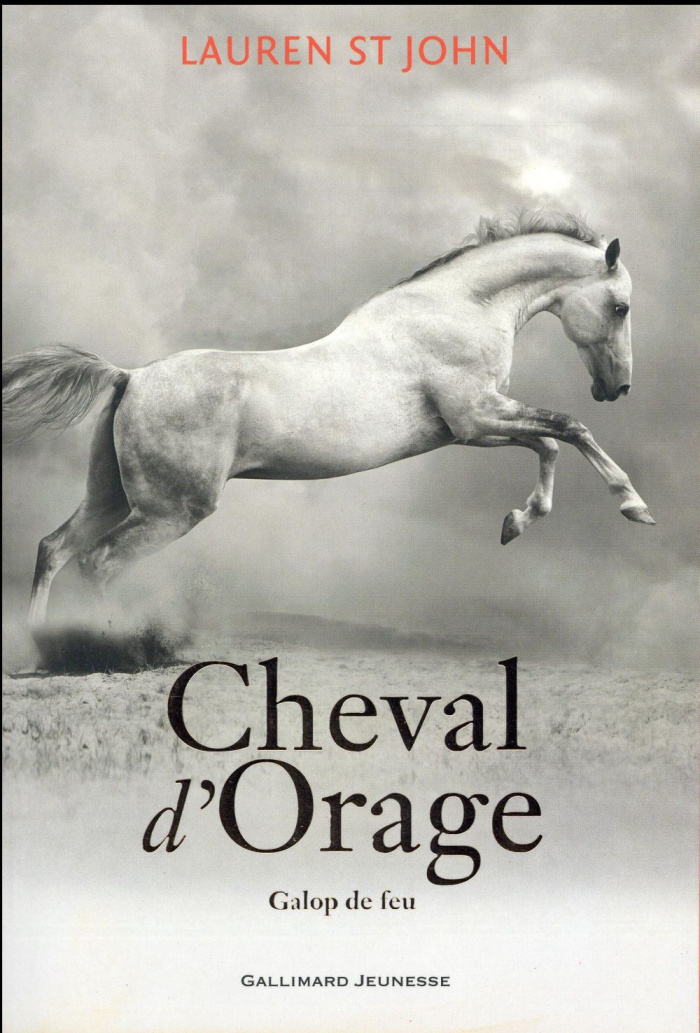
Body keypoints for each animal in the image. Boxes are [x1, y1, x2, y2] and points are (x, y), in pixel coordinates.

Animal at [2, 208, 654, 632]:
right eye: (621, 307)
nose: (617, 388)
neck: (457, 309)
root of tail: (129, 377)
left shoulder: (476, 428)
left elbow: (550, 444)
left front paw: (515, 523)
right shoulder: (476, 418)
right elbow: (569, 429)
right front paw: (634, 506)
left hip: (111, 496)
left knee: (54, 549)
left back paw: (41, 648)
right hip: (171, 510)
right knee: (97, 563)